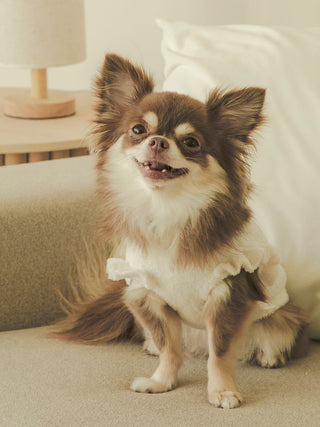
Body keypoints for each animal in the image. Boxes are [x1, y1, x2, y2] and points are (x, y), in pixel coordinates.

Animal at [56, 55, 308, 410]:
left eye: (190, 142)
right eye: (138, 130)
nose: (158, 141)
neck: (168, 209)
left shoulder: (228, 294)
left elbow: (220, 353)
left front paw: (221, 392)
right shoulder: (147, 295)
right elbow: (169, 349)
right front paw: (162, 381)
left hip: (282, 318)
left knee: (273, 336)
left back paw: (269, 356)